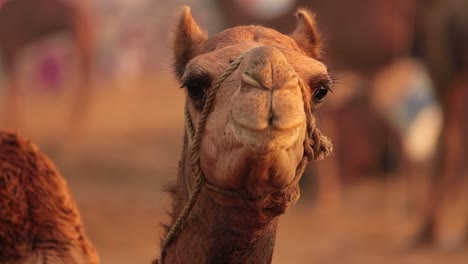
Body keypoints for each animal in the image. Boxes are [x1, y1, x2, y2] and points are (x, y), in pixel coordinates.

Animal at [0, 0, 94, 135]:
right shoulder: (11, 51)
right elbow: (15, 88)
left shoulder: (11, 49)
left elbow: (15, 89)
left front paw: (17, 124)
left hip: (82, 43)